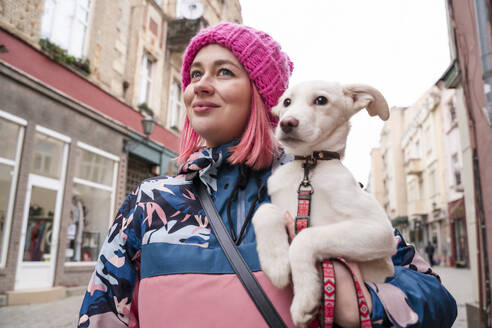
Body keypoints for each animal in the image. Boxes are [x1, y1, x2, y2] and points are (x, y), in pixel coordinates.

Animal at [254, 80, 396, 326]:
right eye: (287, 102)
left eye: (321, 100)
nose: (287, 123)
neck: (308, 168)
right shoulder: (280, 205)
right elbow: (264, 210)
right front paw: (276, 263)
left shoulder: (379, 229)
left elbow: (305, 237)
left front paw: (305, 298)